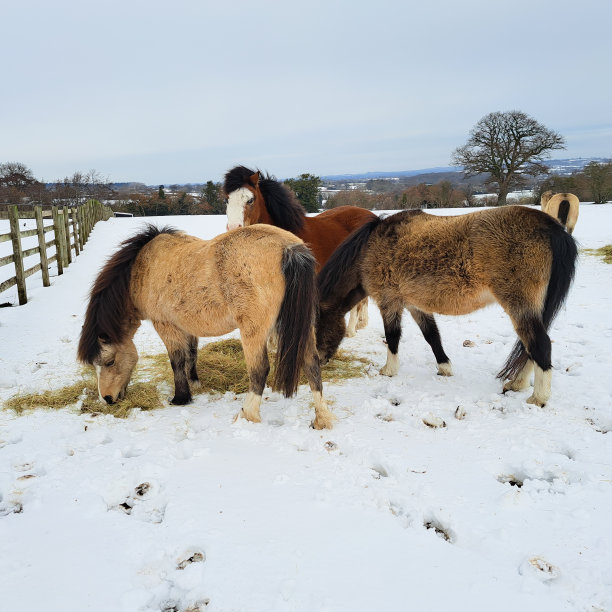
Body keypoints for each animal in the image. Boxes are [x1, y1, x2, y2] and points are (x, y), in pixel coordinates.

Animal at [79, 222, 334, 428]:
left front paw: (181, 397)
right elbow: (191, 355)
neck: (141, 268)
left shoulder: (166, 325)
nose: (107, 399)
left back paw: (248, 415)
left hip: (254, 331)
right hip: (300, 328)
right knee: (311, 364)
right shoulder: (186, 325)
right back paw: (321, 419)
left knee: (259, 369)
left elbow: (177, 360)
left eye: (109, 362)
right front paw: (195, 383)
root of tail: (288, 248)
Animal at [316, 206, 580, 406]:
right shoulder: (415, 305)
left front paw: (389, 370)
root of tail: (551, 226)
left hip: (519, 306)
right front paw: (444, 367)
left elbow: (392, 336)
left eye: (315, 328)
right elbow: (432, 335)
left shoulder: (389, 302)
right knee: (529, 347)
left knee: (539, 344)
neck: (368, 250)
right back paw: (518, 384)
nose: (319, 362)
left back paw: (538, 398)